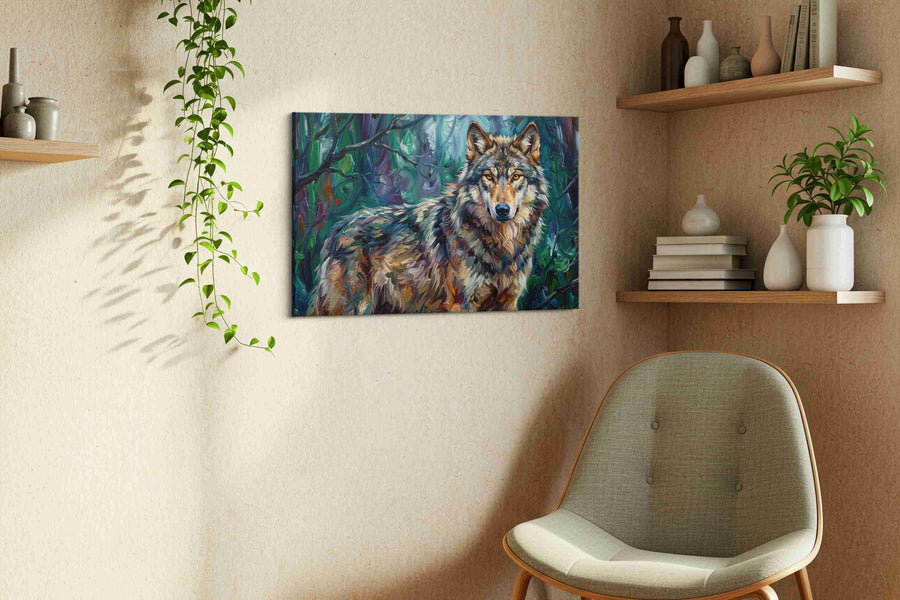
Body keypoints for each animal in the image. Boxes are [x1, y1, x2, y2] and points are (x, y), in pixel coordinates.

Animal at [307, 121, 550, 315]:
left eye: (516, 176)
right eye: (488, 176)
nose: (502, 210)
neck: (501, 246)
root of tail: (336, 229)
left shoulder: (509, 302)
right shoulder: (461, 304)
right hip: (353, 308)